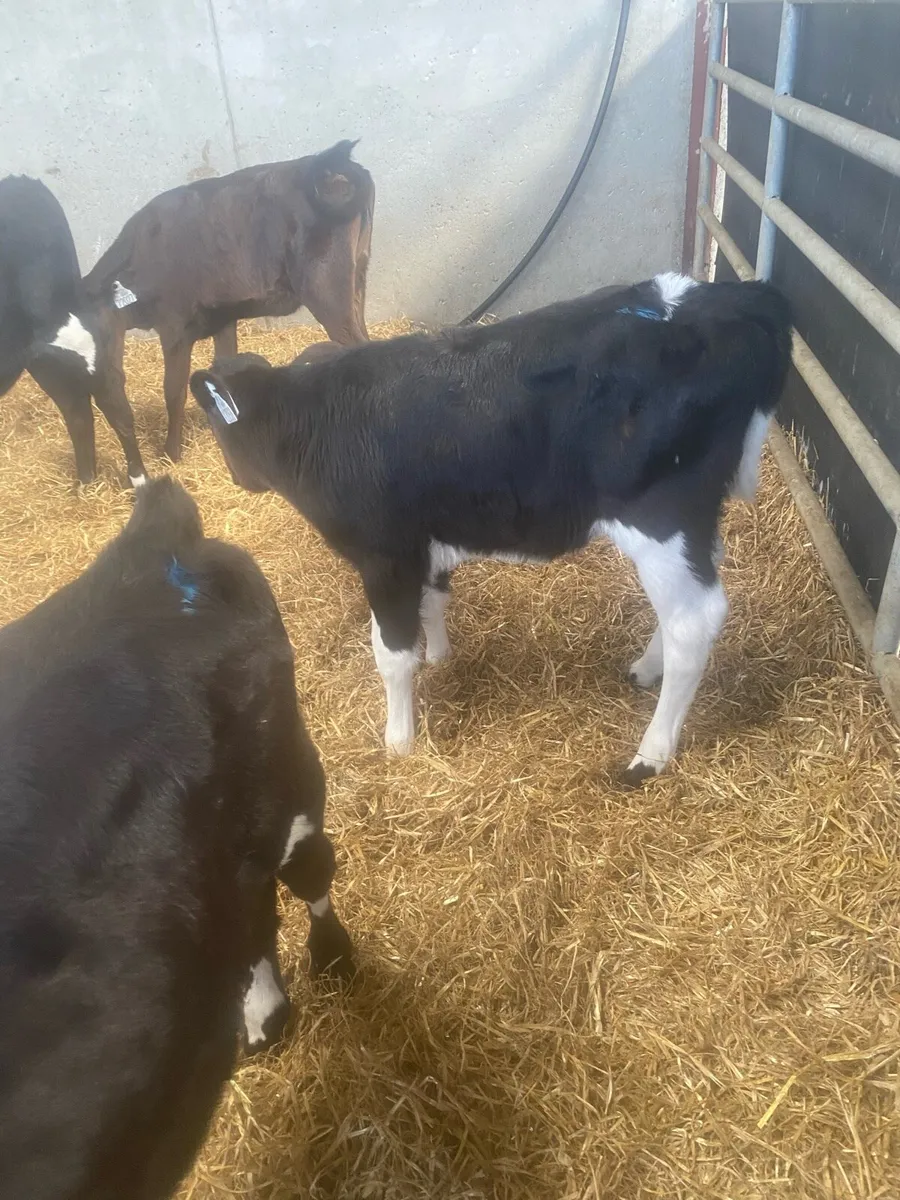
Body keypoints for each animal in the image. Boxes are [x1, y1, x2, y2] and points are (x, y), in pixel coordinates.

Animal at [0, 477, 353, 1199]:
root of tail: (144, 551)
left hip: (284, 777)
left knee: (308, 870)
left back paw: (329, 961)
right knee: (251, 908)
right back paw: (263, 1019)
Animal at [189, 273, 792, 783]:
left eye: (218, 429)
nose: (238, 479)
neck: (315, 422)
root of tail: (735, 298)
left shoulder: (385, 555)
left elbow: (391, 654)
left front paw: (398, 741)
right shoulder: (425, 541)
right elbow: (434, 599)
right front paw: (439, 656)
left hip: (660, 517)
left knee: (694, 621)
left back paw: (650, 755)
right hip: (695, 520)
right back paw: (647, 668)